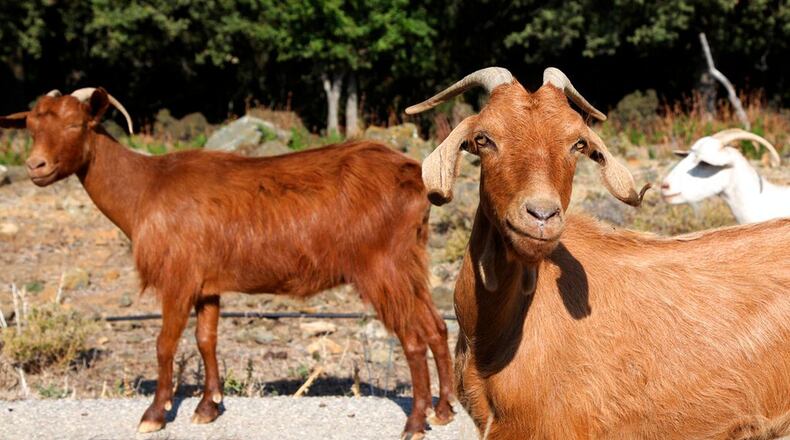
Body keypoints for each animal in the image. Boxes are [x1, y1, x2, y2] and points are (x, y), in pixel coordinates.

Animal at [0, 88, 454, 438]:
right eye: (32, 128)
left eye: (77, 125)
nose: (36, 167)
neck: (145, 189)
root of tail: (414, 176)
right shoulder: (208, 285)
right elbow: (207, 339)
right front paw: (208, 406)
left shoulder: (178, 278)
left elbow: (165, 343)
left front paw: (154, 414)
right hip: (409, 263)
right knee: (436, 327)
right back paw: (445, 410)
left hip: (381, 267)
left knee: (413, 339)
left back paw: (415, 423)